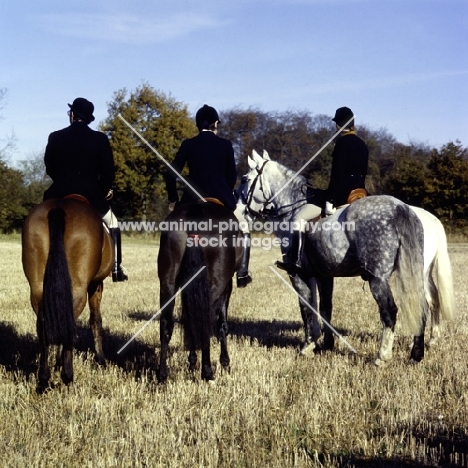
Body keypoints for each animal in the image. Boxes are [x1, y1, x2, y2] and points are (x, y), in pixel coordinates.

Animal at [22, 196, 113, 394]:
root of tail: (59, 206)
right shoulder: (95, 284)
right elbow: (96, 320)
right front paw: (101, 361)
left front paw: (56, 364)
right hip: (79, 288)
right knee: (69, 322)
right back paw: (68, 377)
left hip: (37, 287)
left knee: (45, 324)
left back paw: (43, 380)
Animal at [159, 200, 243, 380]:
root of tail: (196, 209)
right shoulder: (227, 286)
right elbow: (222, 325)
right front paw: (225, 363)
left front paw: (192, 362)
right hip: (217, 285)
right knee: (206, 320)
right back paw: (207, 372)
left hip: (167, 284)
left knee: (167, 324)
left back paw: (162, 374)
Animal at [239, 149, 452, 362]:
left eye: (245, 179)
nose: (241, 212)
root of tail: (401, 207)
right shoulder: (324, 275)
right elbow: (325, 308)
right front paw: (326, 344)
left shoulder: (298, 275)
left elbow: (306, 306)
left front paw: (308, 345)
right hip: (416, 272)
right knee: (424, 304)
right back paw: (418, 352)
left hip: (379, 278)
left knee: (391, 310)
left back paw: (383, 356)